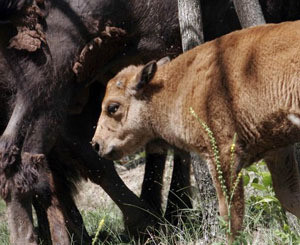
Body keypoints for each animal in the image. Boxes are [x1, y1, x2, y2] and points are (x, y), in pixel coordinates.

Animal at [93, 20, 300, 239]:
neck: (175, 85)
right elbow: (290, 197)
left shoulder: (224, 154)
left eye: (113, 107)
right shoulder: (277, 151)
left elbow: (231, 215)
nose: (96, 144)